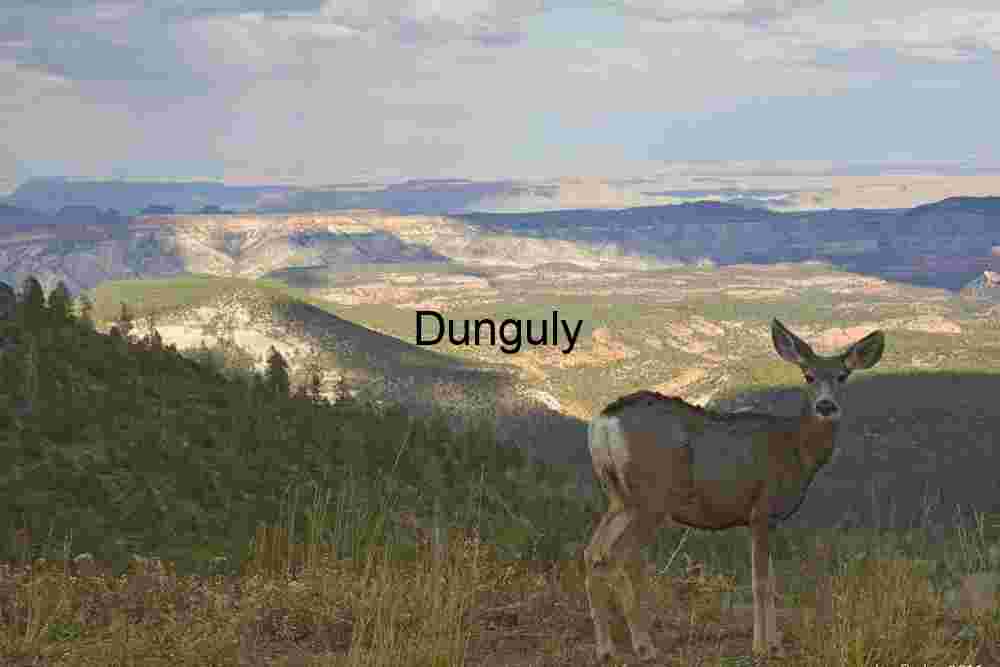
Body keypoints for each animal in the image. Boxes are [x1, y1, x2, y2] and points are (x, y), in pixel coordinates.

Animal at [583, 318, 885, 662]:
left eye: (842, 376)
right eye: (808, 375)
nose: (826, 406)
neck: (796, 450)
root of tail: (604, 422)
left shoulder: (766, 520)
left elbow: (770, 580)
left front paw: (772, 644)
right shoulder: (763, 509)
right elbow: (761, 583)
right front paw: (763, 647)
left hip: (619, 498)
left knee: (593, 552)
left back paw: (606, 649)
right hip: (650, 499)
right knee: (620, 557)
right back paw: (644, 646)